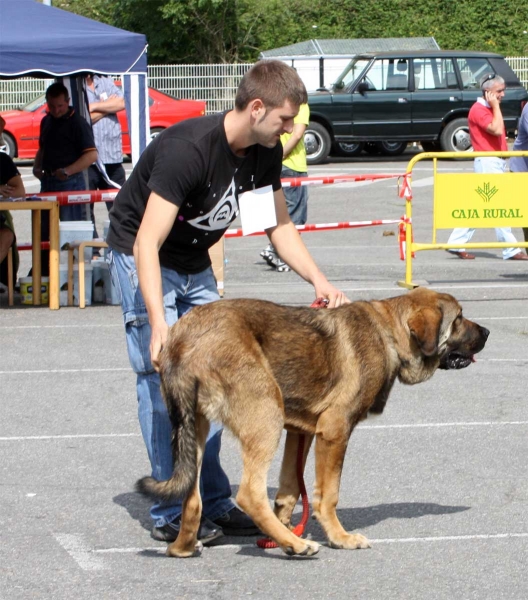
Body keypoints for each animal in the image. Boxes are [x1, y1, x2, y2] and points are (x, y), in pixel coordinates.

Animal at [137, 288, 490, 556]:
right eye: (459, 318)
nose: (487, 332)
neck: (389, 333)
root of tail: (182, 337)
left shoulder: (300, 433)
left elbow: (290, 490)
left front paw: (282, 529)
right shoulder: (334, 430)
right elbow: (328, 494)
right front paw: (339, 537)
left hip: (195, 428)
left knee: (192, 496)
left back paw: (184, 547)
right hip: (266, 413)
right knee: (249, 493)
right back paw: (296, 545)